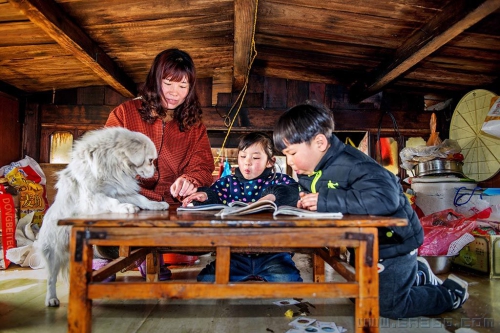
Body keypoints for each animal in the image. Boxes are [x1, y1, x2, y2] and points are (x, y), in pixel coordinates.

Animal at [37, 125, 169, 306]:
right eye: (150, 160)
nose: (155, 172)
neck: (115, 164)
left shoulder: (120, 191)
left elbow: (140, 198)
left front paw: (156, 205)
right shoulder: (91, 197)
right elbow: (110, 201)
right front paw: (126, 207)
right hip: (52, 254)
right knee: (51, 278)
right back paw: (51, 299)